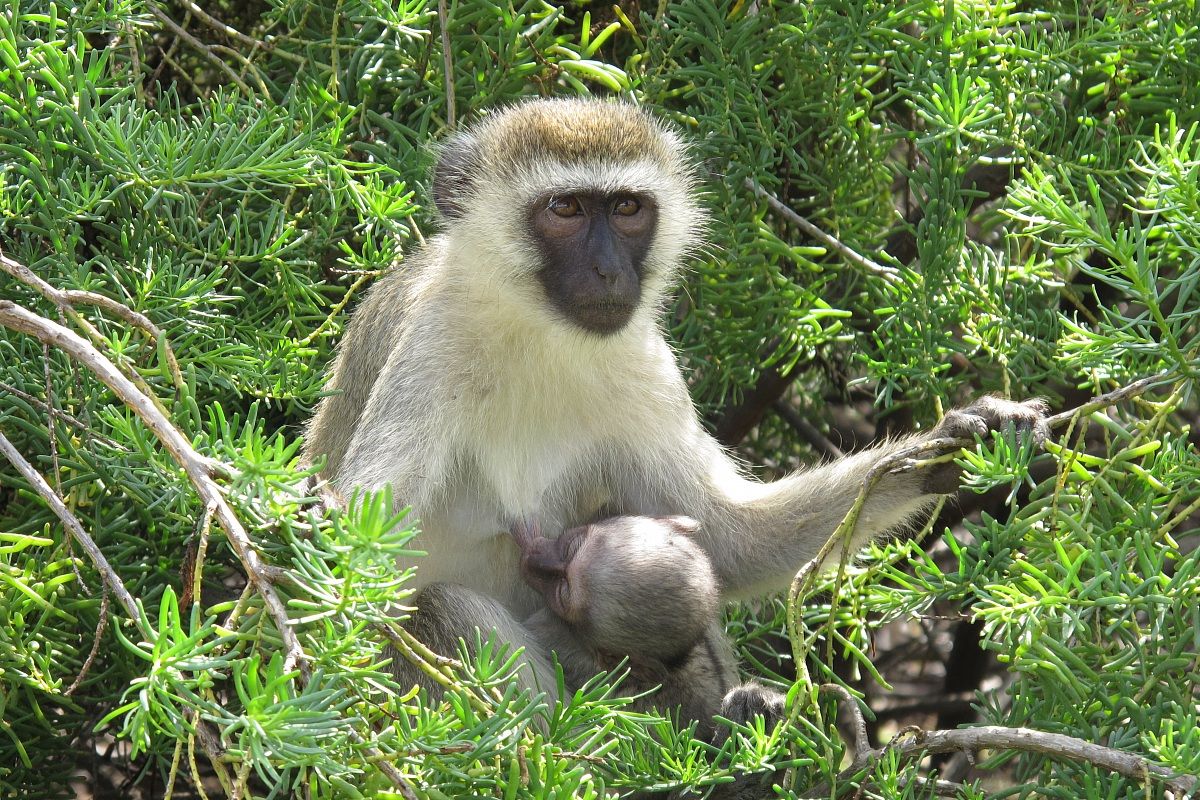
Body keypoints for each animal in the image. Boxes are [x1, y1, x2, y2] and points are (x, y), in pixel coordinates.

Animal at [302, 98, 1051, 700]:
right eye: (565, 209)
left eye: (628, 209)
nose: (609, 270)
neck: (538, 335)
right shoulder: (430, 348)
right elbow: (359, 547)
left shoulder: (647, 366)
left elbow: (728, 539)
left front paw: (956, 445)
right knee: (440, 608)